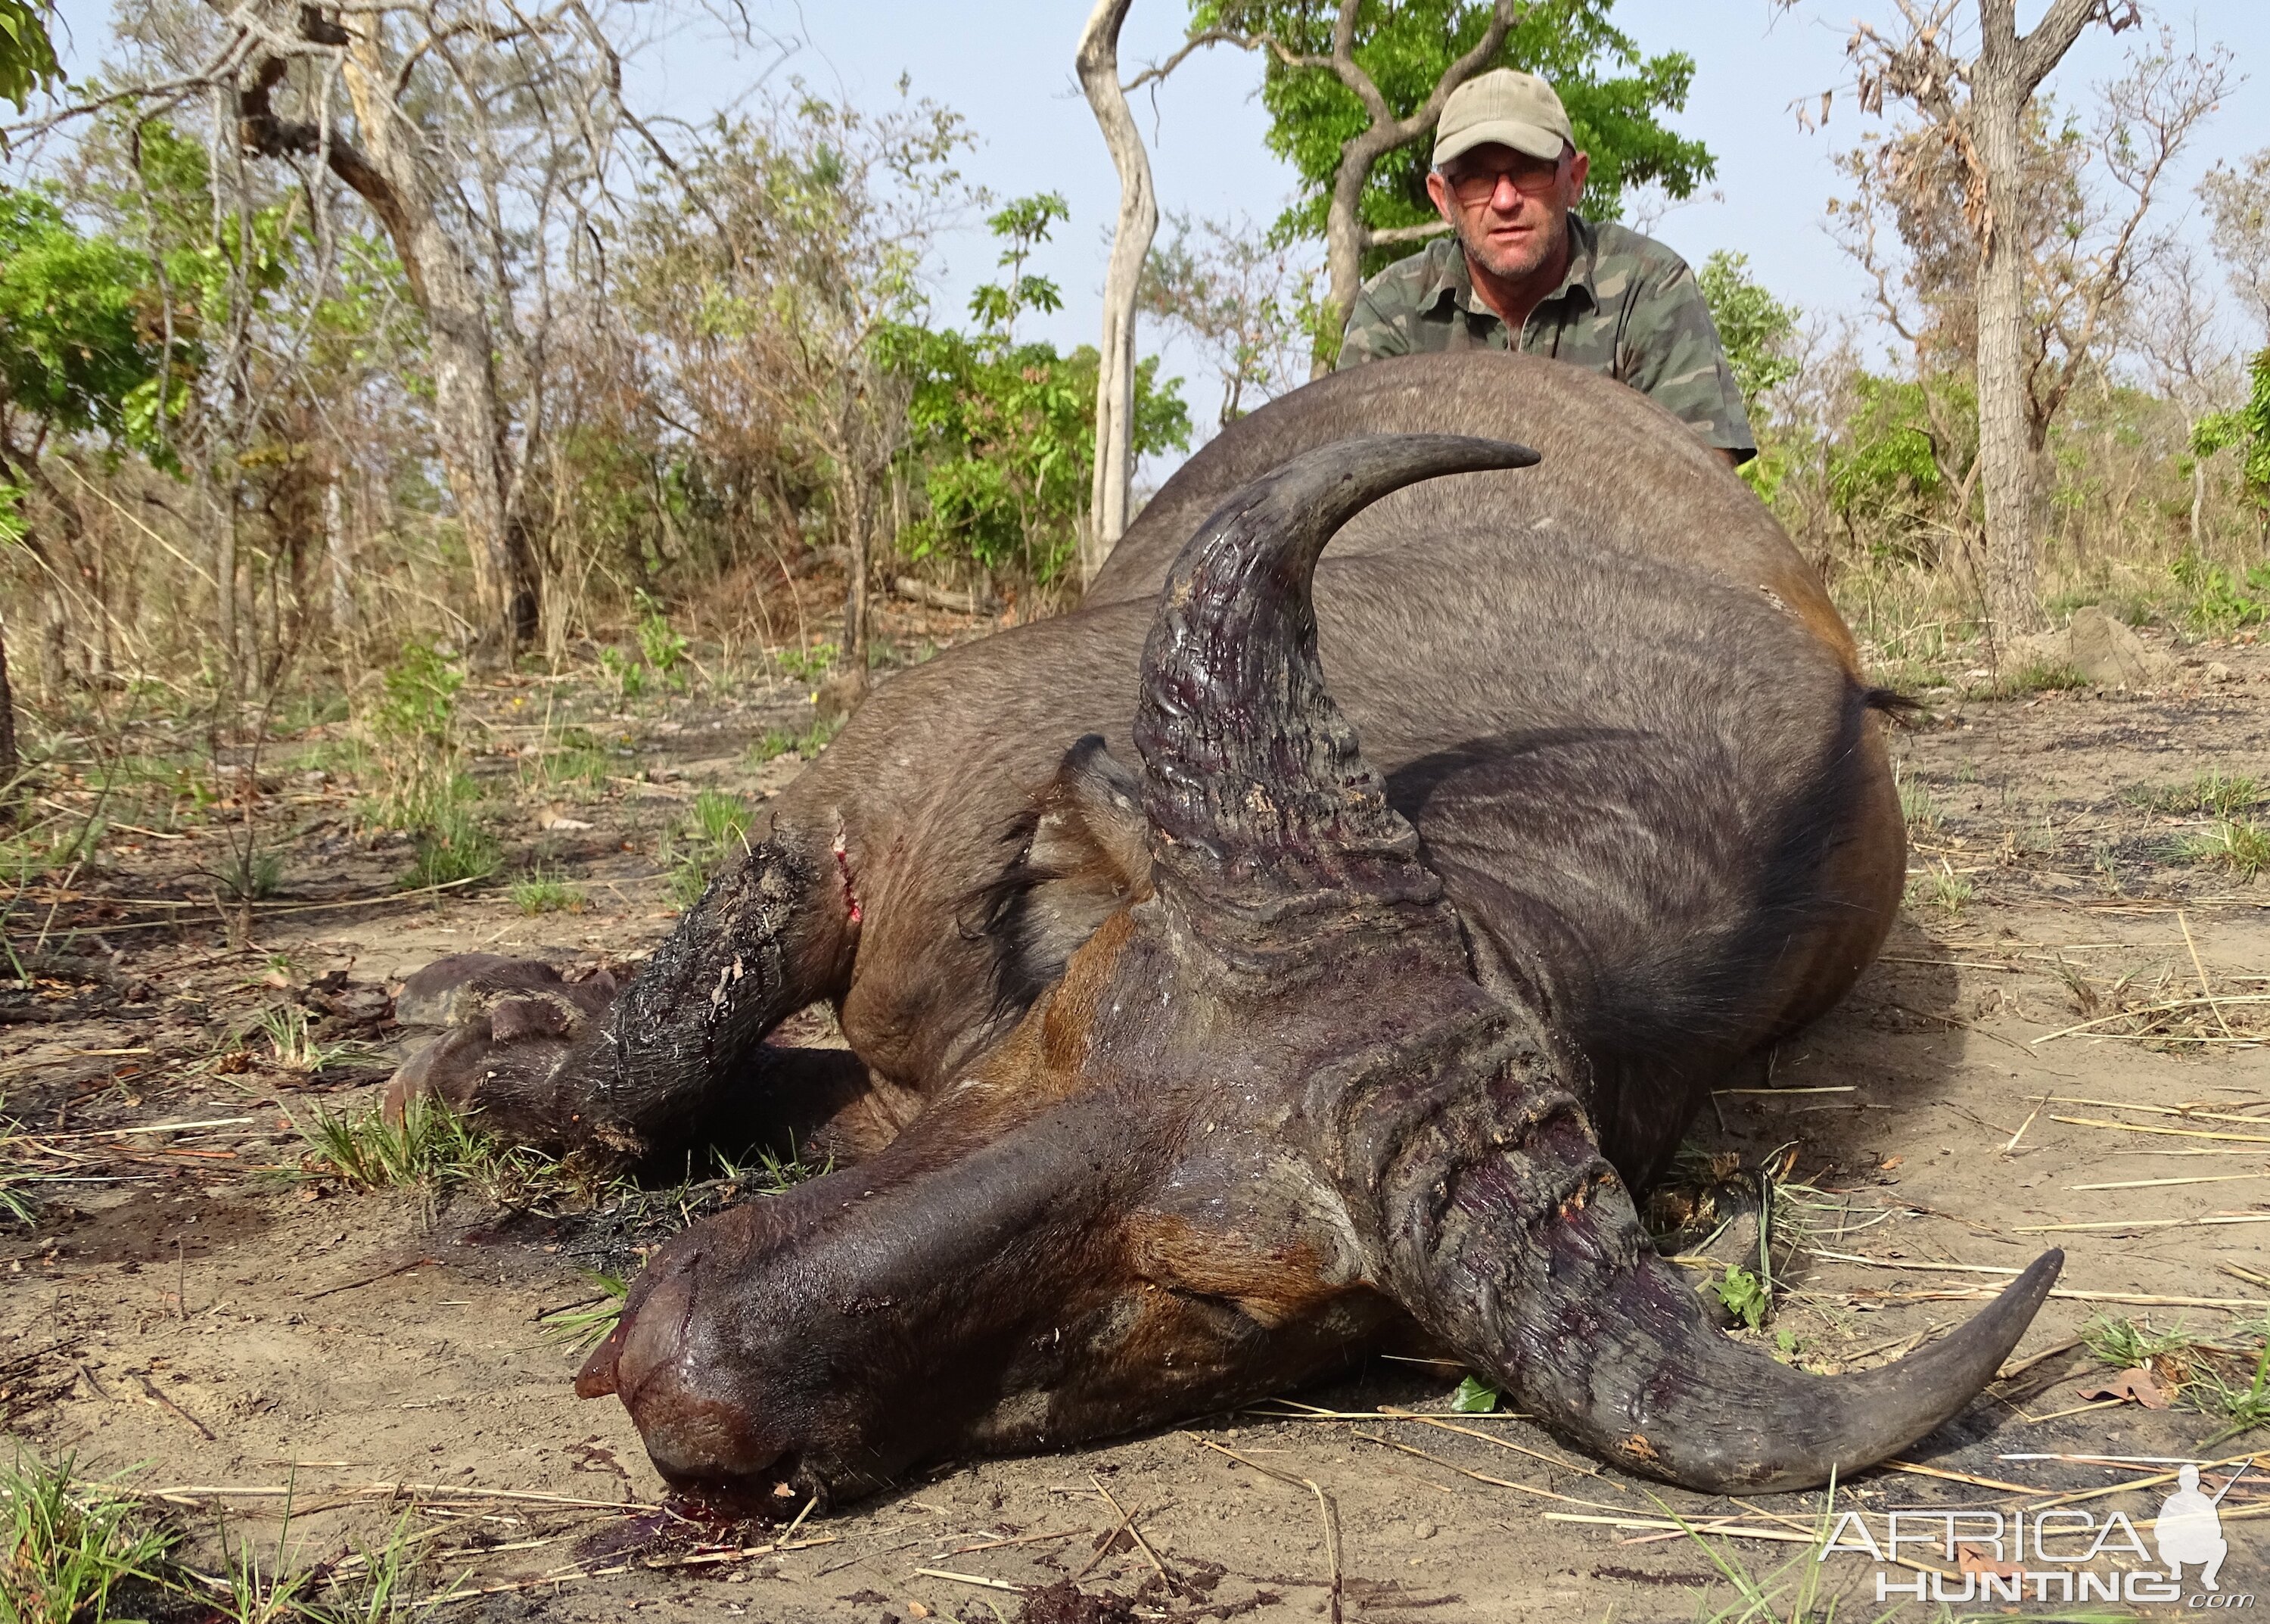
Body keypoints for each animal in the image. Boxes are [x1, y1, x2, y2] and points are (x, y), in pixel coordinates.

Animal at [390, 352, 2061, 1507]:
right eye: (1069, 1016)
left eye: (1213, 1302)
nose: (688, 1369)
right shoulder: (837, 826)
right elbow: (648, 1064)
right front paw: (473, 1040)